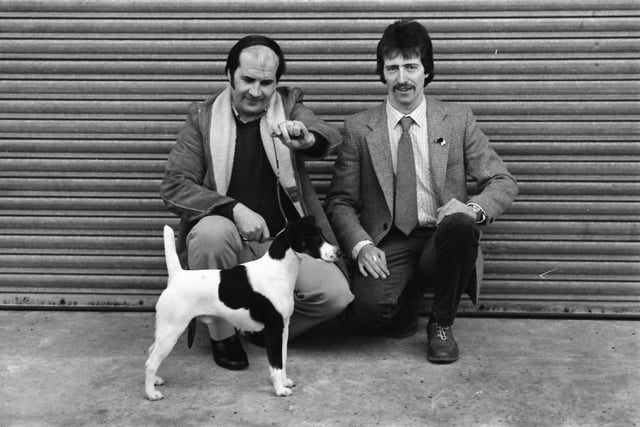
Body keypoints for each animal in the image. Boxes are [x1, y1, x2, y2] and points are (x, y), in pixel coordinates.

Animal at [146, 217, 342, 402]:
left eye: (321, 232)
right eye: (313, 237)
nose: (339, 252)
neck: (278, 270)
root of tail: (177, 276)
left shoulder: (284, 328)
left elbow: (283, 358)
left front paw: (284, 381)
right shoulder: (273, 329)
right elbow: (276, 363)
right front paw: (279, 389)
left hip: (166, 331)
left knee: (151, 352)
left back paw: (155, 381)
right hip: (172, 330)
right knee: (150, 363)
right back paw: (151, 393)